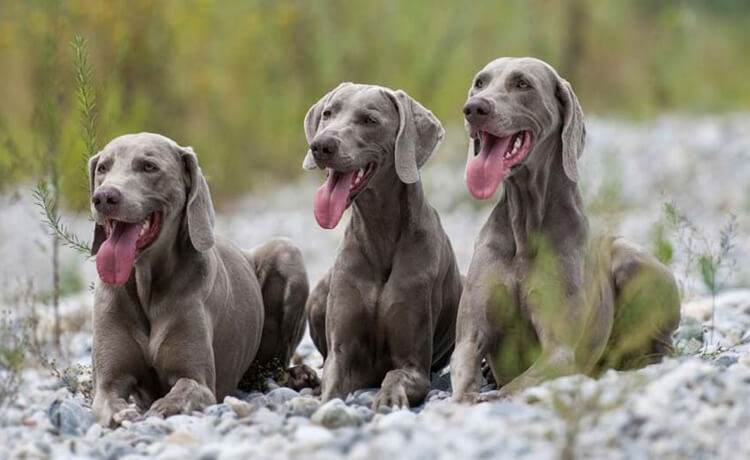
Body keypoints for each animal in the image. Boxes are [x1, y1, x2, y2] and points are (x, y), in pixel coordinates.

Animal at [89, 131, 318, 426]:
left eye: (149, 167)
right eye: (103, 168)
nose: (104, 197)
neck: (146, 283)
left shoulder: (199, 381)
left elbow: (182, 392)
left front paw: (160, 408)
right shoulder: (108, 382)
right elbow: (108, 400)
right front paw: (123, 413)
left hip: (287, 252)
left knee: (274, 365)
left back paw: (299, 375)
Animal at [302, 83, 462, 410]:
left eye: (370, 120)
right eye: (328, 114)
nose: (321, 145)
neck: (379, 234)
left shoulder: (414, 364)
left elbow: (395, 374)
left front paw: (389, 397)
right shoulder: (342, 353)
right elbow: (331, 383)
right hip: (320, 292)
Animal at [450, 57, 684, 402]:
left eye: (522, 84)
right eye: (480, 82)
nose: (474, 108)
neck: (525, 226)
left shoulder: (560, 351)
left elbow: (515, 386)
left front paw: (490, 396)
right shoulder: (470, 334)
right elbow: (464, 368)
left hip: (632, 259)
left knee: (662, 344)